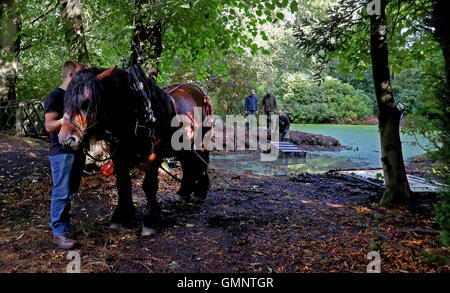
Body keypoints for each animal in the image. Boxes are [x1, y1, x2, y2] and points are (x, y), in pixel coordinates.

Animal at [57, 65, 213, 235]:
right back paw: (184, 192)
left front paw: (151, 220)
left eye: (87, 102)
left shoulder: (153, 154)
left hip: (202, 140)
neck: (136, 111)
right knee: (187, 165)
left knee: (203, 161)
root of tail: (197, 90)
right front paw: (122, 216)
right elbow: (123, 183)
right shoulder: (119, 154)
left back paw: (200, 191)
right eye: (66, 101)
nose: (66, 139)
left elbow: (149, 185)